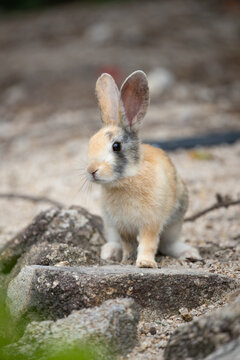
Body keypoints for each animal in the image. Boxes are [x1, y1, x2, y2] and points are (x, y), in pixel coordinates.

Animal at [86, 69, 201, 268]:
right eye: (91, 143)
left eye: (116, 146)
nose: (92, 171)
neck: (128, 178)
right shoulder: (122, 226)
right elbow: (128, 244)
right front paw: (127, 260)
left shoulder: (151, 223)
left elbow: (148, 242)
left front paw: (145, 263)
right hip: (110, 225)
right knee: (115, 241)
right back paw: (110, 253)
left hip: (175, 223)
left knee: (168, 244)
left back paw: (189, 253)